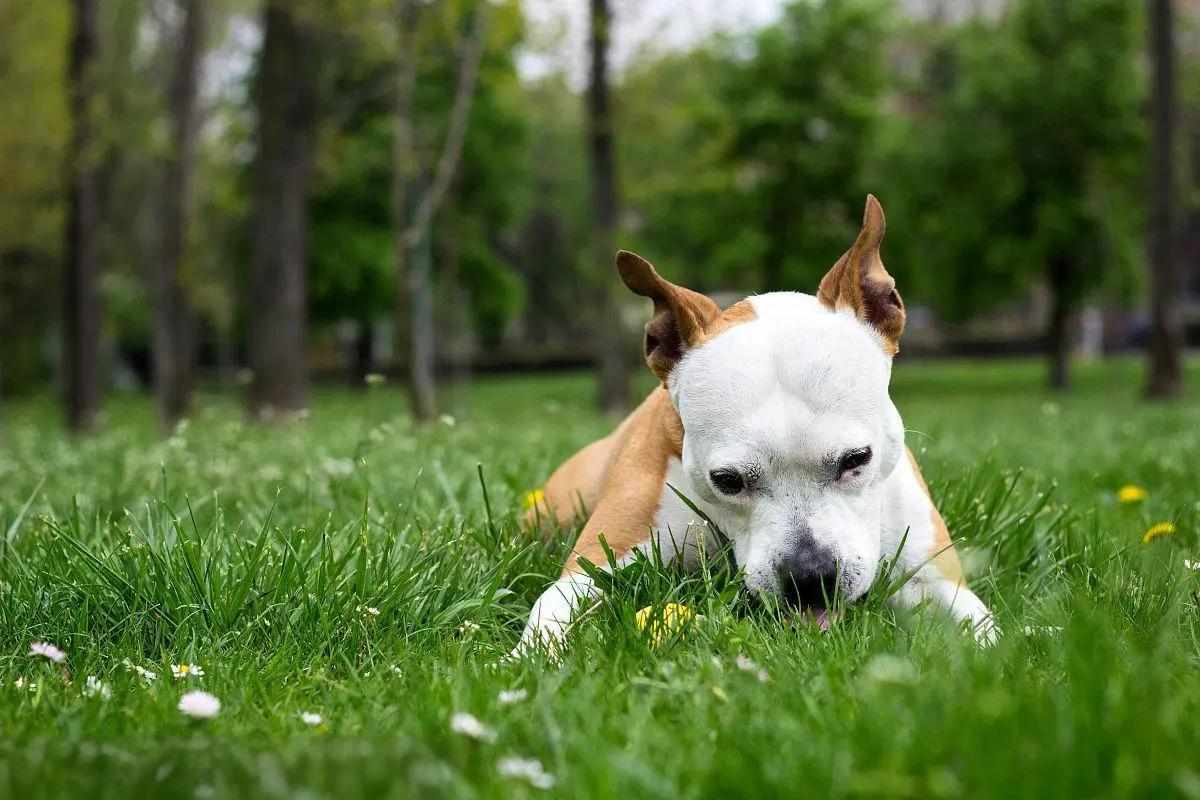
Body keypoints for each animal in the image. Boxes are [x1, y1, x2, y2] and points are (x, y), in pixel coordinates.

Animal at [516, 195, 993, 657]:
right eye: (727, 481)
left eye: (857, 459)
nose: (809, 576)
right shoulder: (594, 564)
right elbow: (549, 610)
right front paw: (524, 658)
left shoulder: (936, 581)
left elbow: (985, 635)